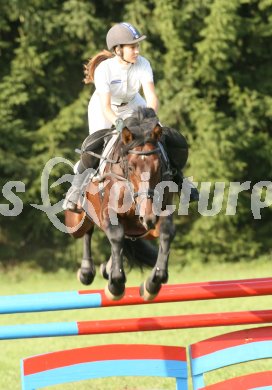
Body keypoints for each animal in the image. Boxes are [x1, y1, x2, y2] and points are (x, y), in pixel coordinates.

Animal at [65, 107, 177, 302]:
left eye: (158, 167)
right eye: (131, 167)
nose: (148, 218)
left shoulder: (158, 217)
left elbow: (166, 233)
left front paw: (152, 284)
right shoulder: (108, 215)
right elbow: (116, 236)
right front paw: (116, 285)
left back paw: (107, 267)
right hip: (75, 222)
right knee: (87, 231)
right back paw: (86, 271)